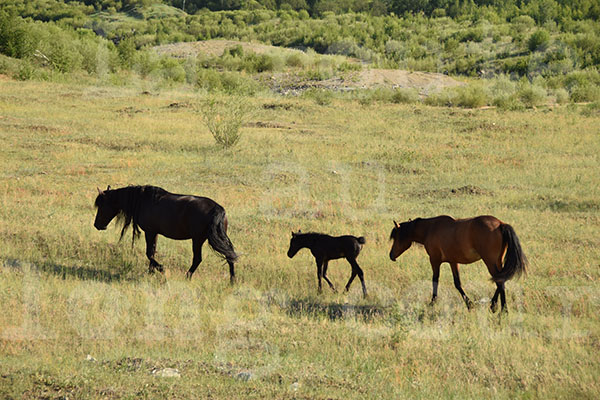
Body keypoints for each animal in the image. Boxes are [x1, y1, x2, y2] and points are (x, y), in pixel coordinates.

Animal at [390, 216, 524, 312]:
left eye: (396, 237)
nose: (391, 255)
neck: (430, 229)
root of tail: (500, 224)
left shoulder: (434, 260)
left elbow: (435, 280)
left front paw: (432, 302)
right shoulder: (453, 262)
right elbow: (457, 283)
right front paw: (469, 304)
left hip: (490, 262)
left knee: (499, 281)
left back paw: (503, 310)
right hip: (498, 261)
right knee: (501, 281)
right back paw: (493, 305)